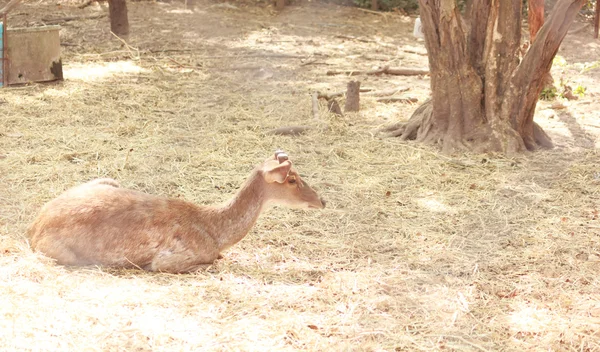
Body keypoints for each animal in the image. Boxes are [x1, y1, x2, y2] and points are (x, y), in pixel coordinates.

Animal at [28, 150, 326, 274]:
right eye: (292, 179)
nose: (322, 200)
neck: (214, 232)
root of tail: (33, 227)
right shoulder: (169, 260)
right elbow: (212, 262)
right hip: (61, 252)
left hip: (107, 179)